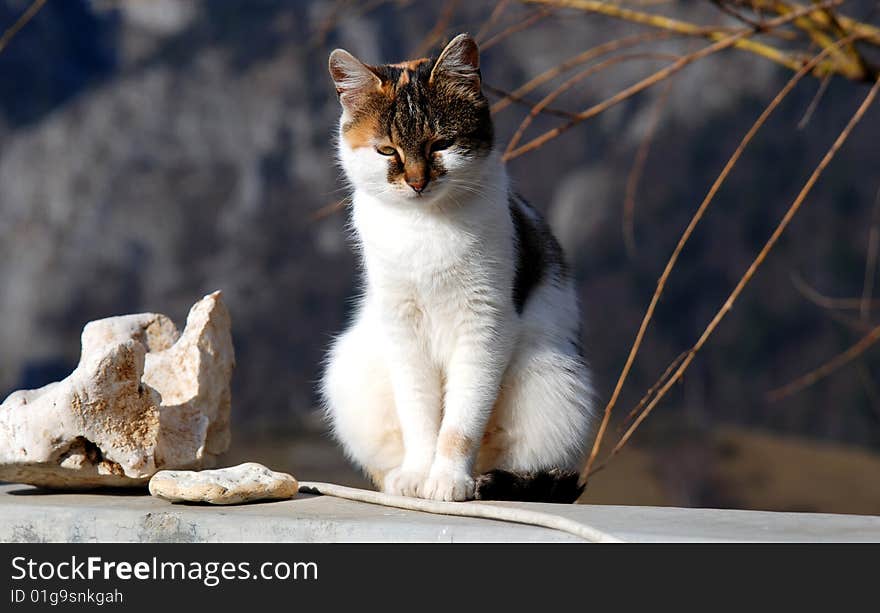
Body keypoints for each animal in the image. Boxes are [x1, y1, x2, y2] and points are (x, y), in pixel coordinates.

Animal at [320, 32, 596, 502]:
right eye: (387, 150)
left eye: (440, 145)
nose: (417, 182)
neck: (425, 228)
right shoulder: (402, 326)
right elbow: (418, 412)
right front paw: (417, 474)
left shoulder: (484, 323)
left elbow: (462, 420)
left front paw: (448, 479)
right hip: (352, 368)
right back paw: (396, 478)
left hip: (551, 378)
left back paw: (489, 480)